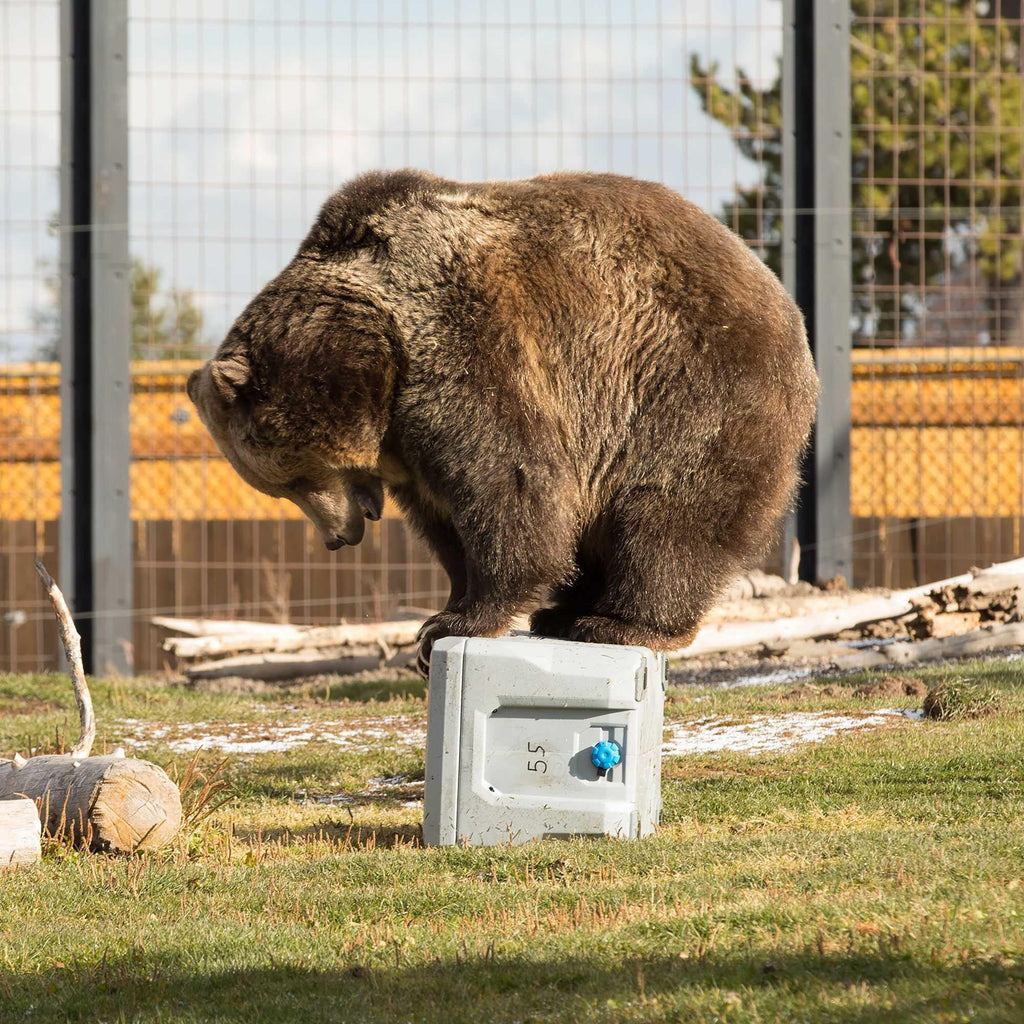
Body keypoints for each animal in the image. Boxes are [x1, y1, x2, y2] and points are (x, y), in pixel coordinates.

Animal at [188, 170, 819, 676]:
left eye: (289, 479)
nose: (340, 536)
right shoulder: (409, 446)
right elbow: (445, 519)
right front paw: (447, 608)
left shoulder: (466, 346)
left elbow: (510, 482)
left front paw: (456, 622)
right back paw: (566, 611)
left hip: (684, 388)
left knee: (667, 515)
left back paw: (621, 622)